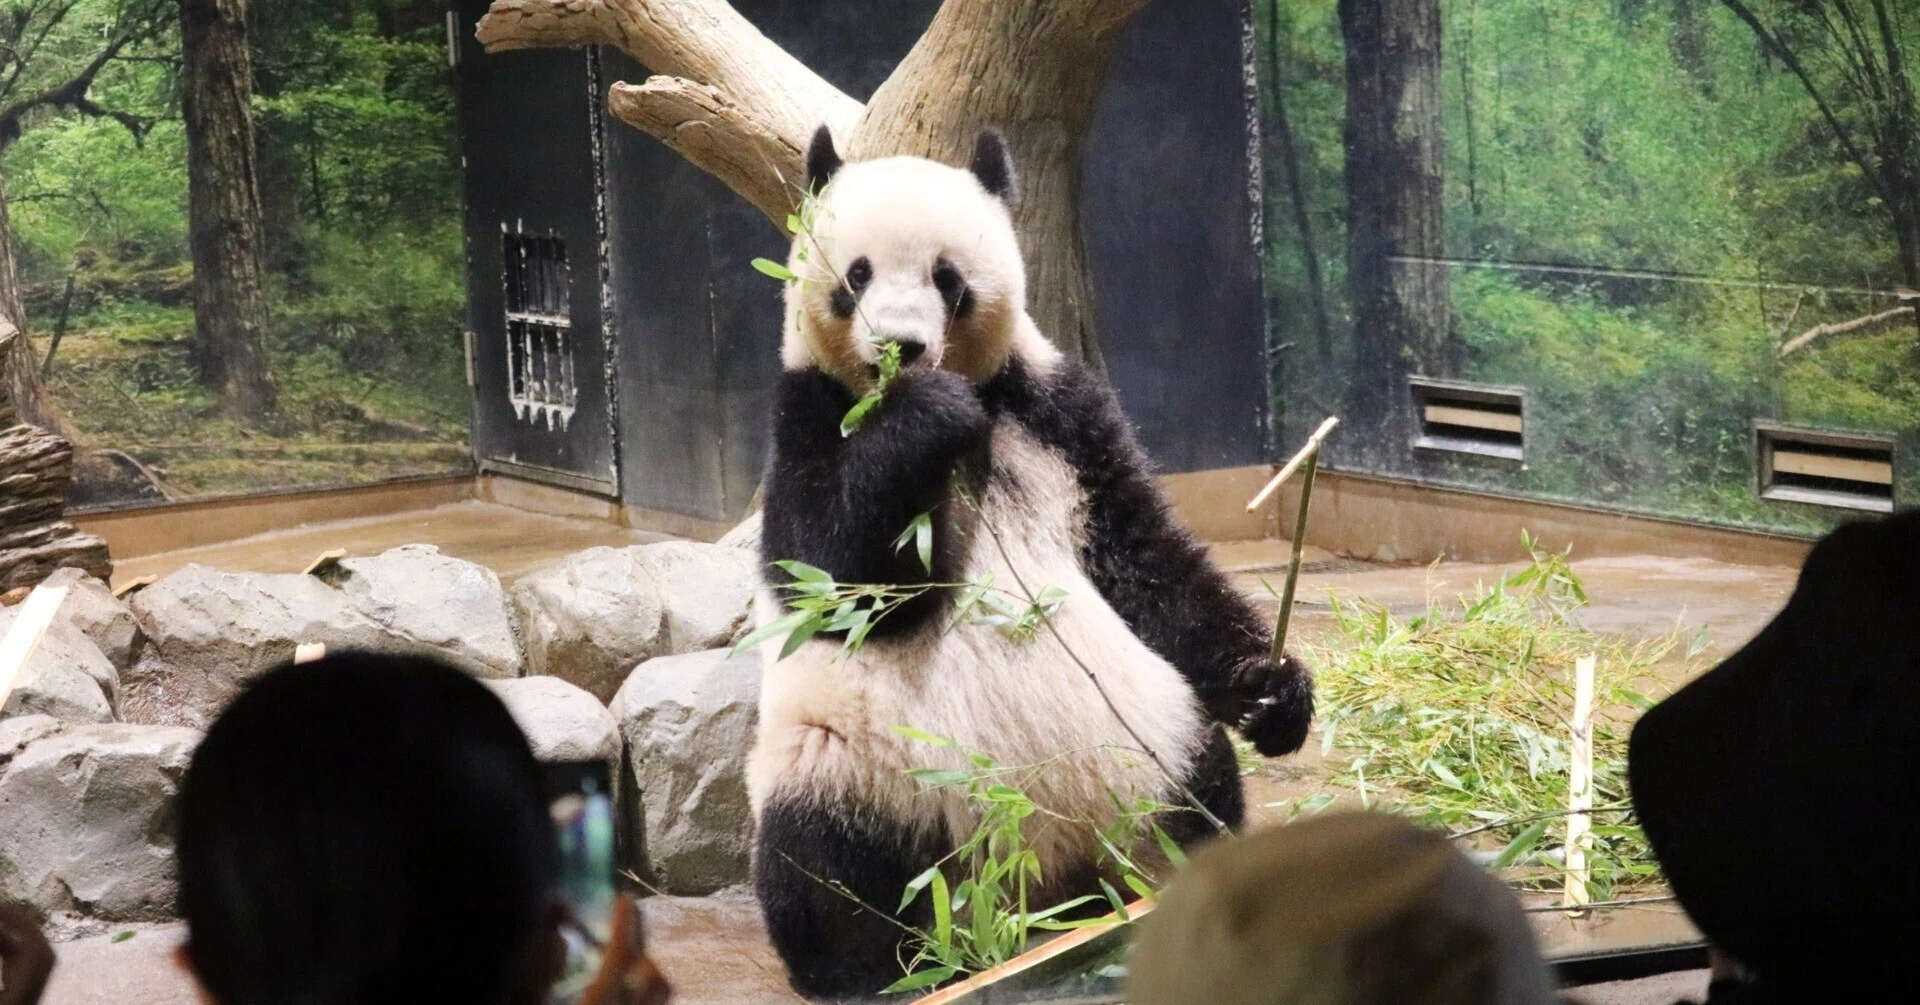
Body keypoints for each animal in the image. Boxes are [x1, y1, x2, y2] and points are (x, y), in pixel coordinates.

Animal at [748, 125, 1315, 1000]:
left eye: (947, 278)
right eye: (857, 275)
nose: (902, 345)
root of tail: (1027, 886)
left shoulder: (1060, 413)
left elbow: (1145, 560)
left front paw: (1275, 692)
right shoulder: (806, 413)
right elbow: (836, 578)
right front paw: (924, 416)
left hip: (1152, 741)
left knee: (1205, 792)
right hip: (859, 773)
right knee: (822, 865)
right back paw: (875, 970)